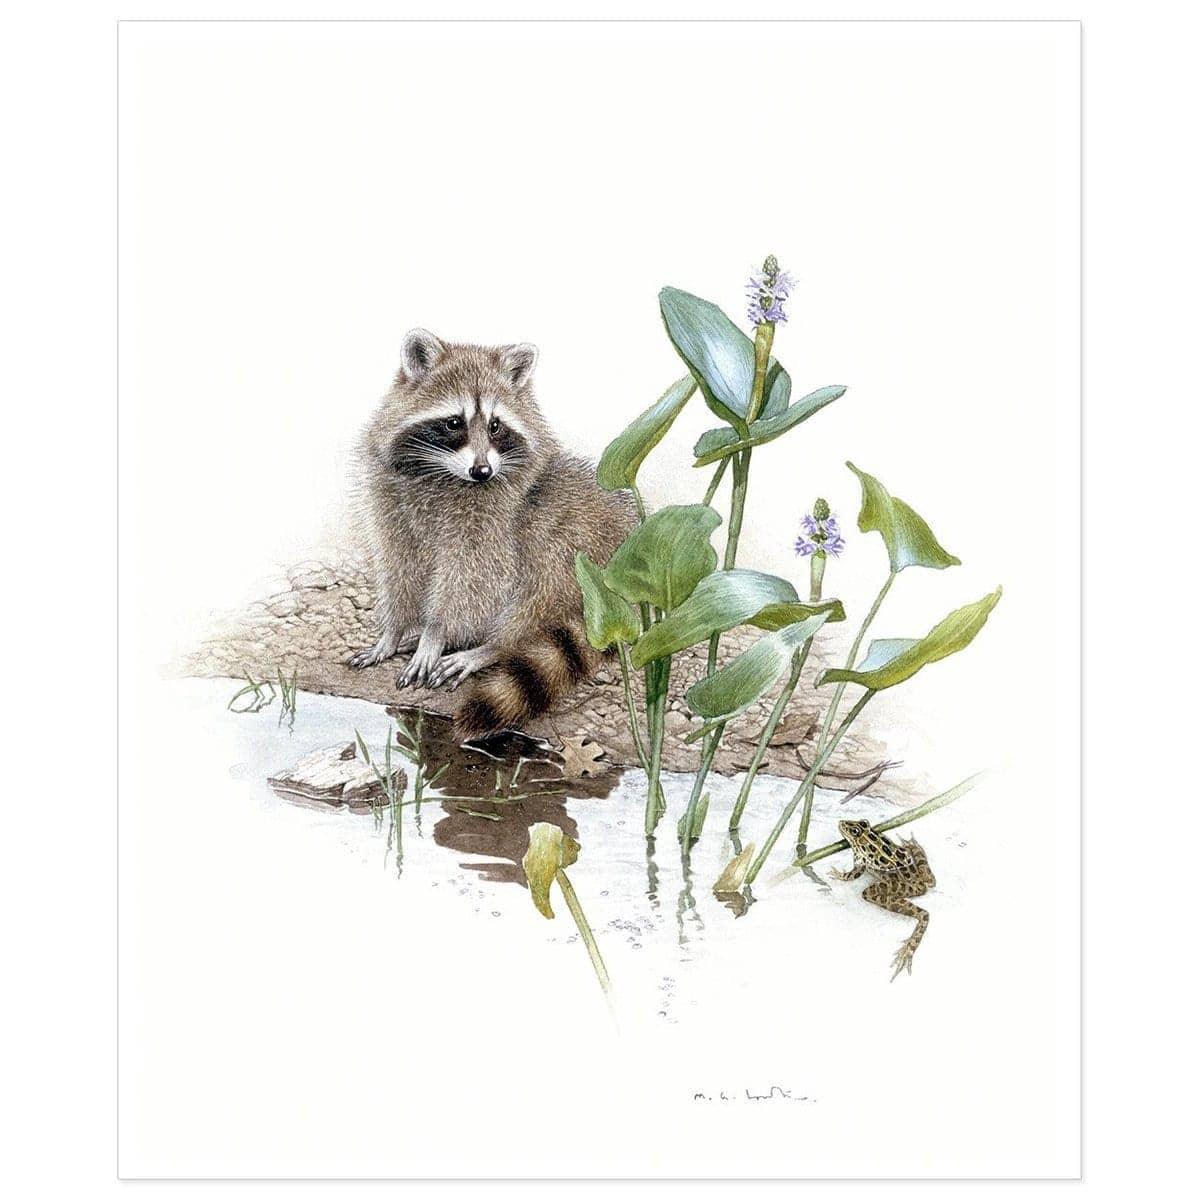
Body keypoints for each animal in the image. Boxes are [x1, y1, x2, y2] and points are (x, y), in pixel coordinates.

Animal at [348, 328, 636, 739]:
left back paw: (490, 647)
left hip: (582, 565)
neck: (439, 474)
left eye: (496, 426)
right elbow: (398, 567)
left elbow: (470, 579)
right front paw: (394, 632)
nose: (482, 471)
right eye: (455, 423)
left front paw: (435, 635)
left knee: (543, 580)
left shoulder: (495, 521)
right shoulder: (392, 504)